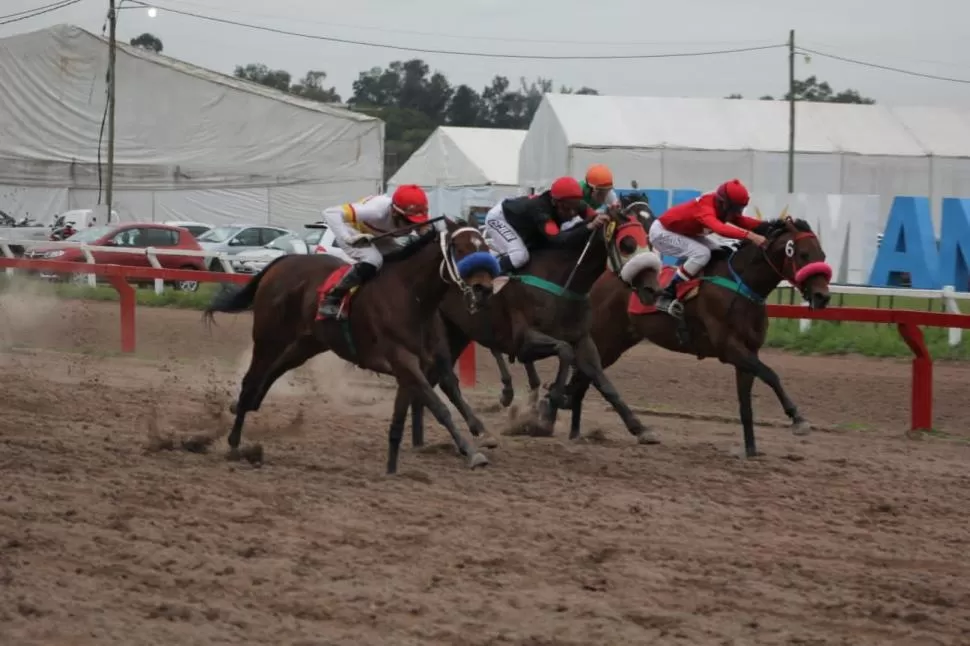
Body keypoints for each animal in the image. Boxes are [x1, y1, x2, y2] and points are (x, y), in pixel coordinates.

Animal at [404, 200, 660, 448]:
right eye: (627, 243)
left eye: (649, 240)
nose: (653, 290)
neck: (561, 281)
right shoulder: (523, 342)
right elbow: (564, 351)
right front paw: (547, 412)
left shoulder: (582, 339)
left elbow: (602, 380)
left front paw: (640, 428)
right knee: (440, 378)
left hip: (458, 332)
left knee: (434, 378)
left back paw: (422, 435)